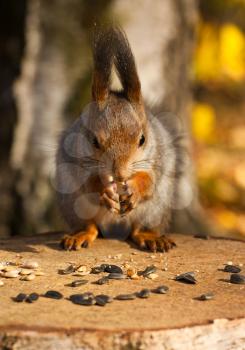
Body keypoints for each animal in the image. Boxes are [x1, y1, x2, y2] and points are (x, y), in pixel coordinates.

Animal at [55, 27, 186, 252]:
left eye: (143, 139)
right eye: (94, 141)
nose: (120, 174)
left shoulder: (158, 156)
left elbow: (150, 180)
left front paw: (135, 187)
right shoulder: (75, 158)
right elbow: (88, 183)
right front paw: (105, 190)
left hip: (155, 209)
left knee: (138, 228)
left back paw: (150, 236)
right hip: (74, 205)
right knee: (90, 226)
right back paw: (80, 235)